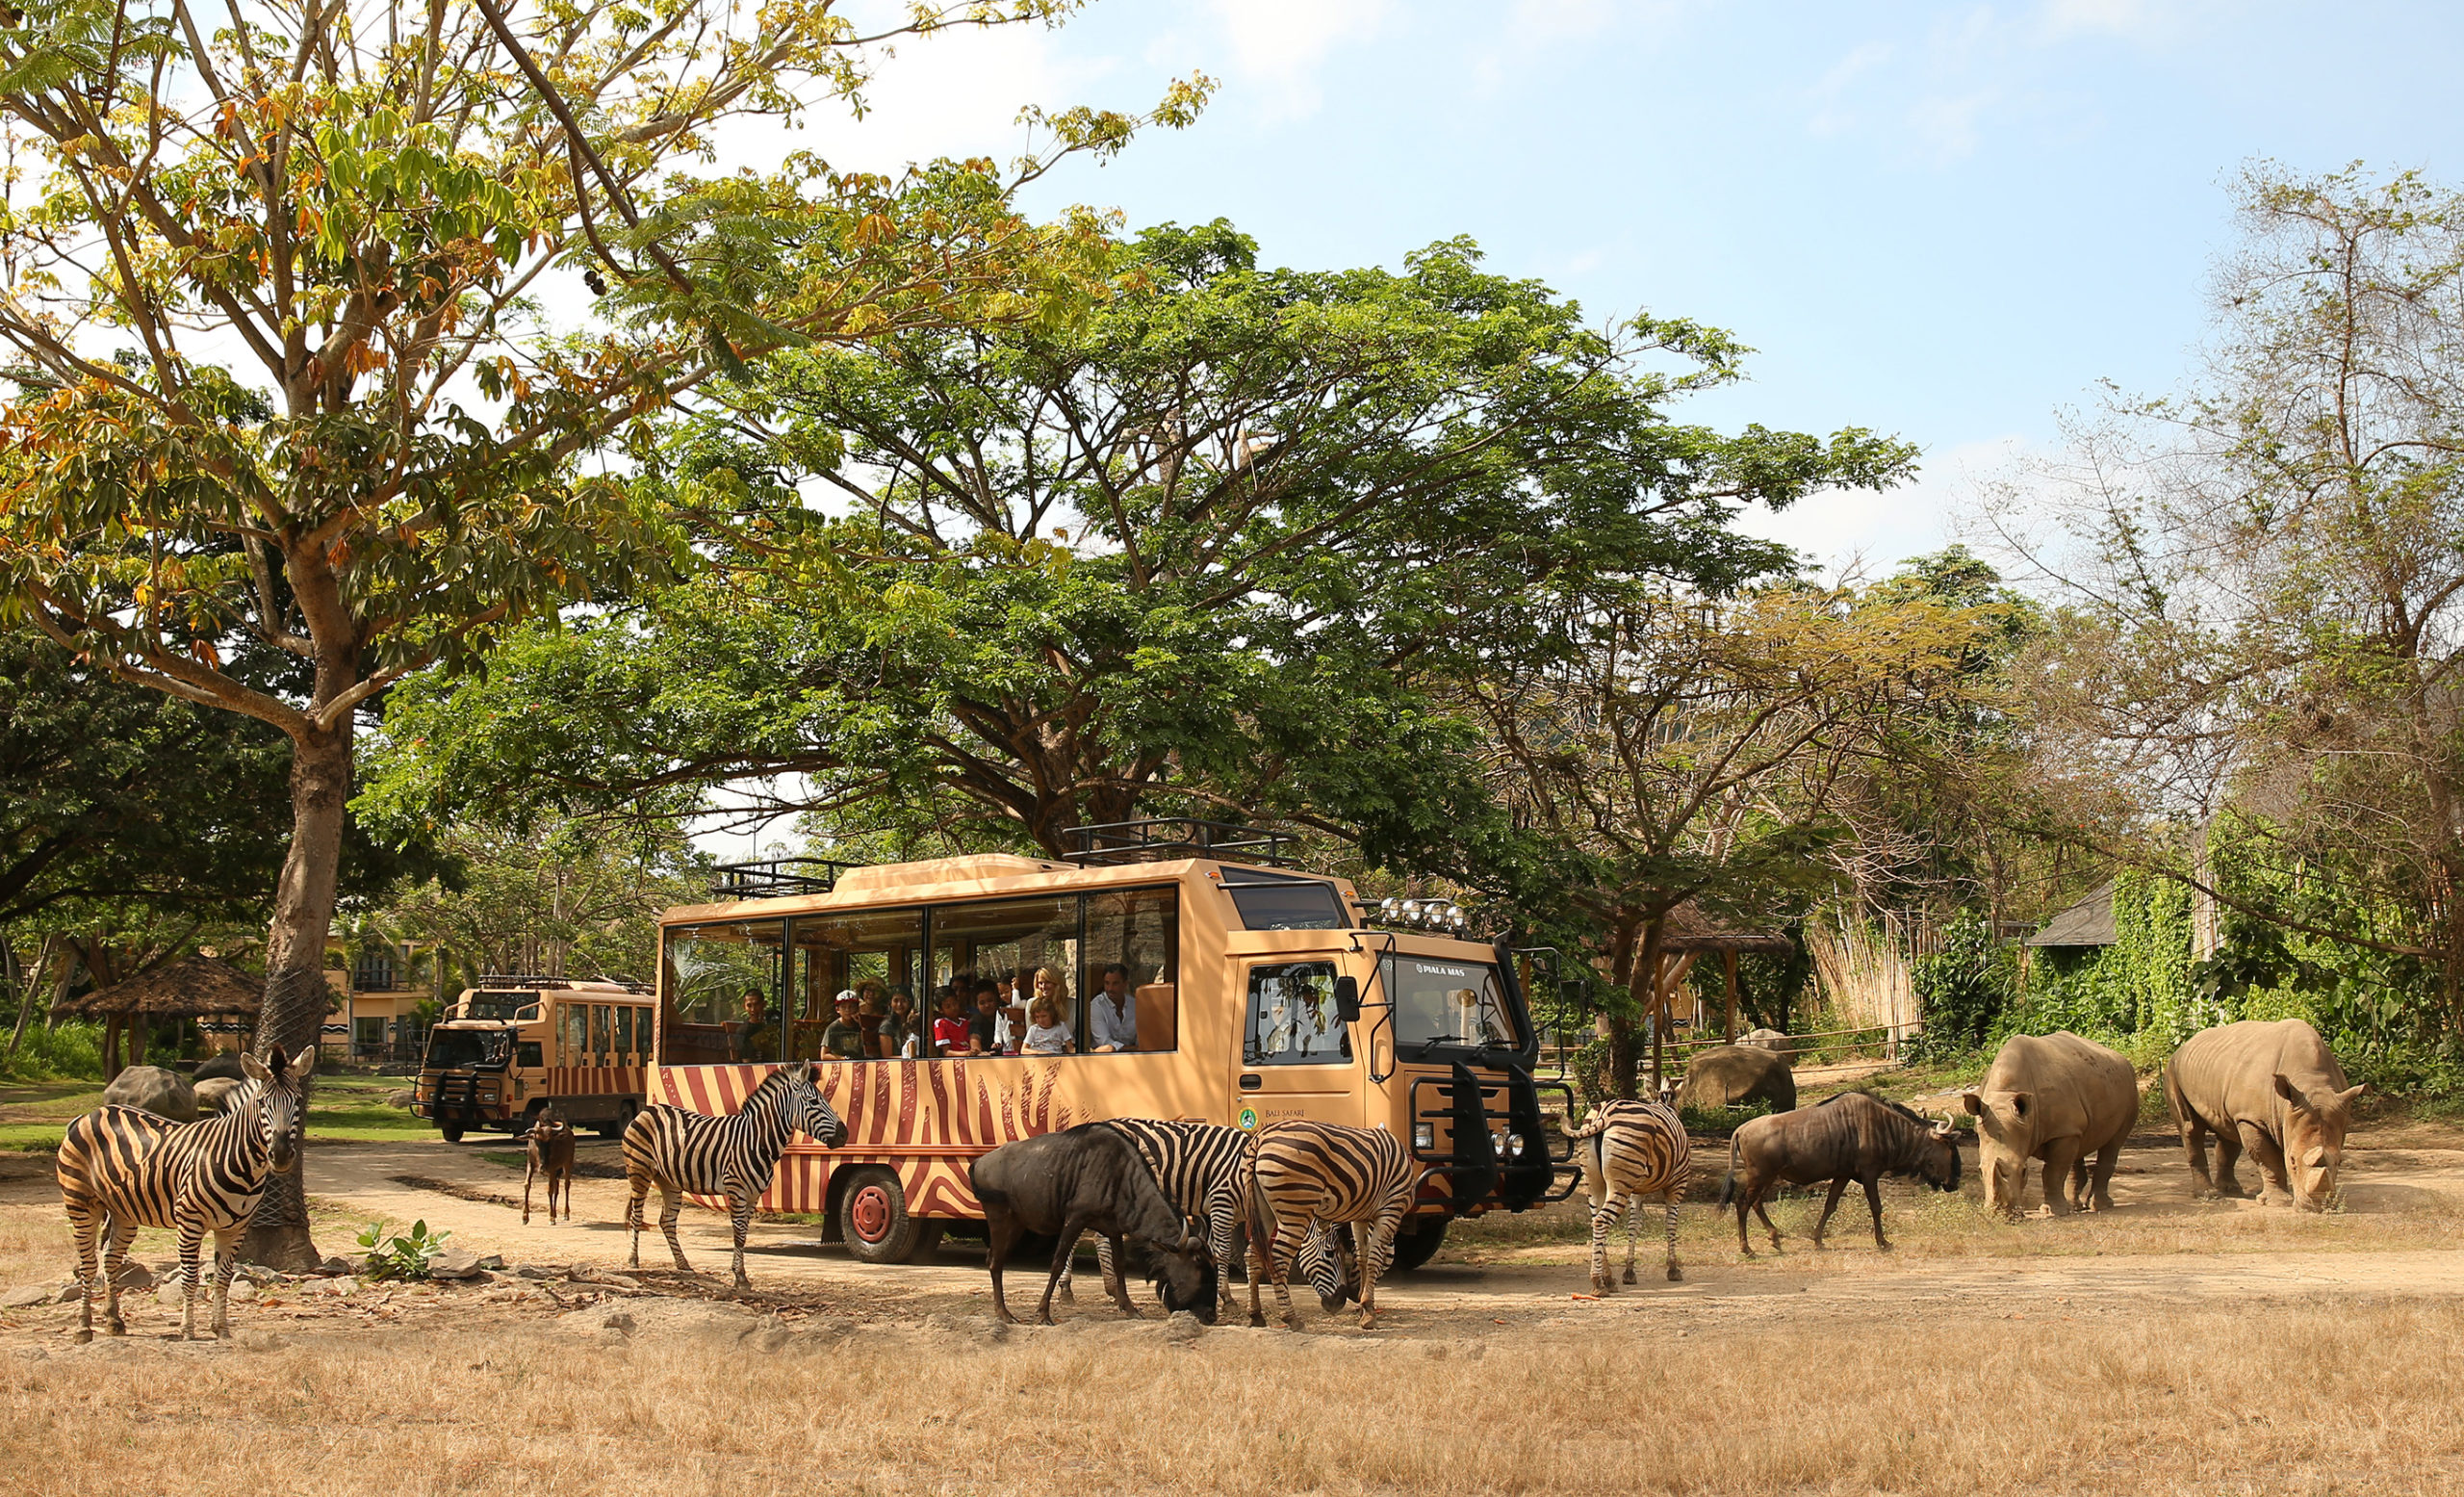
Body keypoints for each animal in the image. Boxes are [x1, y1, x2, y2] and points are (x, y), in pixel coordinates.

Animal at [57, 1041, 315, 1351]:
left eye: (298, 1100)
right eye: (263, 1103)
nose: (281, 1155)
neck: (240, 1162)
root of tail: (91, 1114)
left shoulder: (235, 1228)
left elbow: (223, 1278)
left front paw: (221, 1329)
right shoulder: (190, 1222)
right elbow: (190, 1278)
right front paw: (188, 1330)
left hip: (123, 1211)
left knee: (110, 1258)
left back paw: (114, 1321)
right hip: (80, 1203)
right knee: (88, 1264)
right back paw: (83, 1328)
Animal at [616, 1060, 847, 1292]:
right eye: (813, 1102)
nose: (844, 1135)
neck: (757, 1140)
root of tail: (648, 1110)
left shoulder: (754, 1195)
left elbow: (744, 1233)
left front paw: (741, 1274)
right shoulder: (737, 1189)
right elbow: (739, 1232)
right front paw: (740, 1276)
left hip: (669, 1180)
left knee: (667, 1221)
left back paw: (683, 1264)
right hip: (639, 1170)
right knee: (637, 1216)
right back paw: (633, 1260)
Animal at [1242, 1120, 1419, 1331]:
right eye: (1329, 1253)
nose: (1343, 1301)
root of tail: (1260, 1137)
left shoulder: (1360, 1216)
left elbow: (1363, 1257)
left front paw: (1364, 1309)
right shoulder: (1391, 1209)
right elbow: (1374, 1259)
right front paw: (1368, 1310)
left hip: (1263, 1210)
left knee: (1252, 1255)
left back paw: (1255, 1315)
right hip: (1296, 1209)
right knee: (1278, 1259)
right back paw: (1291, 1318)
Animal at [1567, 1095, 1685, 1292]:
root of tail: (1603, 1114)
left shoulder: (1637, 1192)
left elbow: (1633, 1226)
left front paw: (1629, 1272)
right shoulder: (1677, 1184)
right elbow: (1671, 1224)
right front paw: (1673, 1269)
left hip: (1594, 1182)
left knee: (1595, 1220)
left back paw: (1608, 1279)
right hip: (1620, 1183)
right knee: (1601, 1221)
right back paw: (1598, 1283)